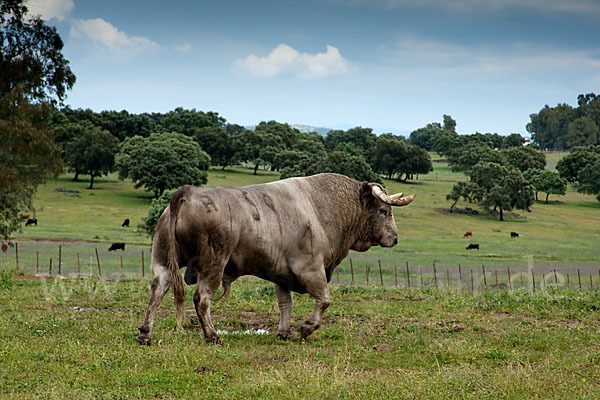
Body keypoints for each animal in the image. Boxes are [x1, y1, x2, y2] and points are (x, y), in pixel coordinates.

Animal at [137, 172, 418, 344]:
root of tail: (188, 193)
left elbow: (286, 304)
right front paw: (307, 327)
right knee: (202, 299)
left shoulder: (282, 275)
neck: (324, 208)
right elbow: (324, 300)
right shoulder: (310, 269)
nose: (394, 238)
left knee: (157, 292)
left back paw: (145, 334)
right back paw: (212, 335)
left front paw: (284, 332)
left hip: (162, 262)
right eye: (383, 211)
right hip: (214, 264)